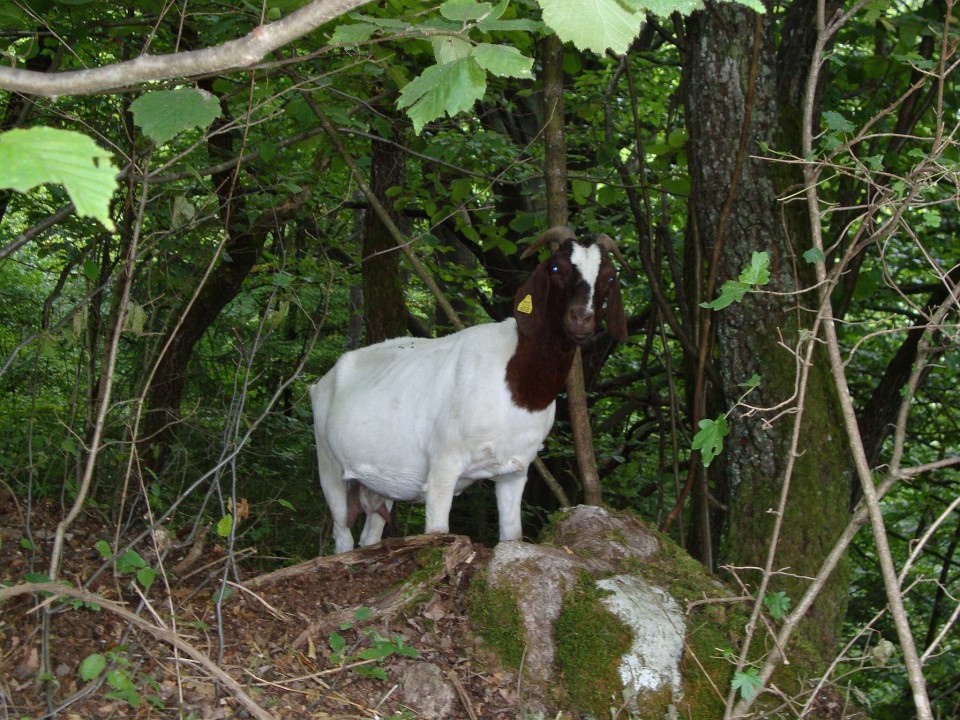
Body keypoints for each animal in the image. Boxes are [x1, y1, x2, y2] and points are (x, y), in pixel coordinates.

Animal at [308, 228, 632, 556]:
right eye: (556, 268)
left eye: (609, 277)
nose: (581, 318)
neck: (516, 387)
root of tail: (323, 381)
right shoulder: (443, 463)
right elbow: (438, 533)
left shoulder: (515, 470)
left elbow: (512, 535)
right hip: (329, 464)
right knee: (343, 536)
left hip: (381, 481)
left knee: (369, 537)